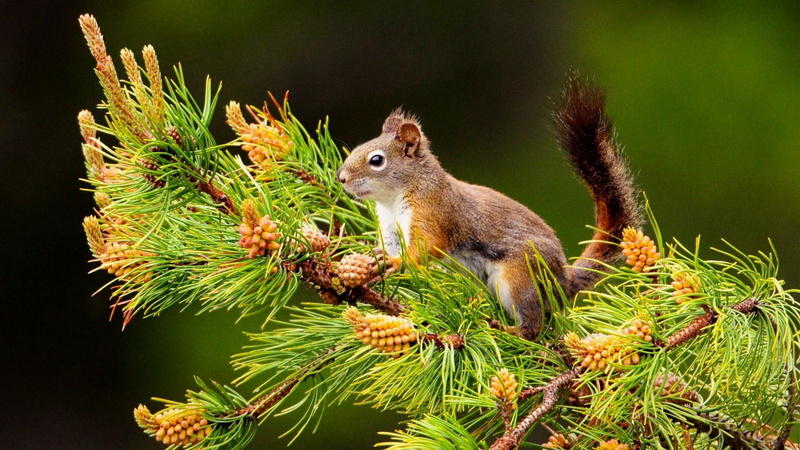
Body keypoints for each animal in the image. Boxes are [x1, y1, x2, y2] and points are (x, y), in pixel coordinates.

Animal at [336, 76, 642, 340]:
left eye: (377, 160)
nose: (341, 177)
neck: (393, 199)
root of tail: (563, 280)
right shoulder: (389, 227)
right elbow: (389, 246)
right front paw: (375, 257)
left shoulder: (433, 212)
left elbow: (427, 246)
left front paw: (398, 262)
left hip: (519, 276)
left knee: (533, 324)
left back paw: (511, 331)